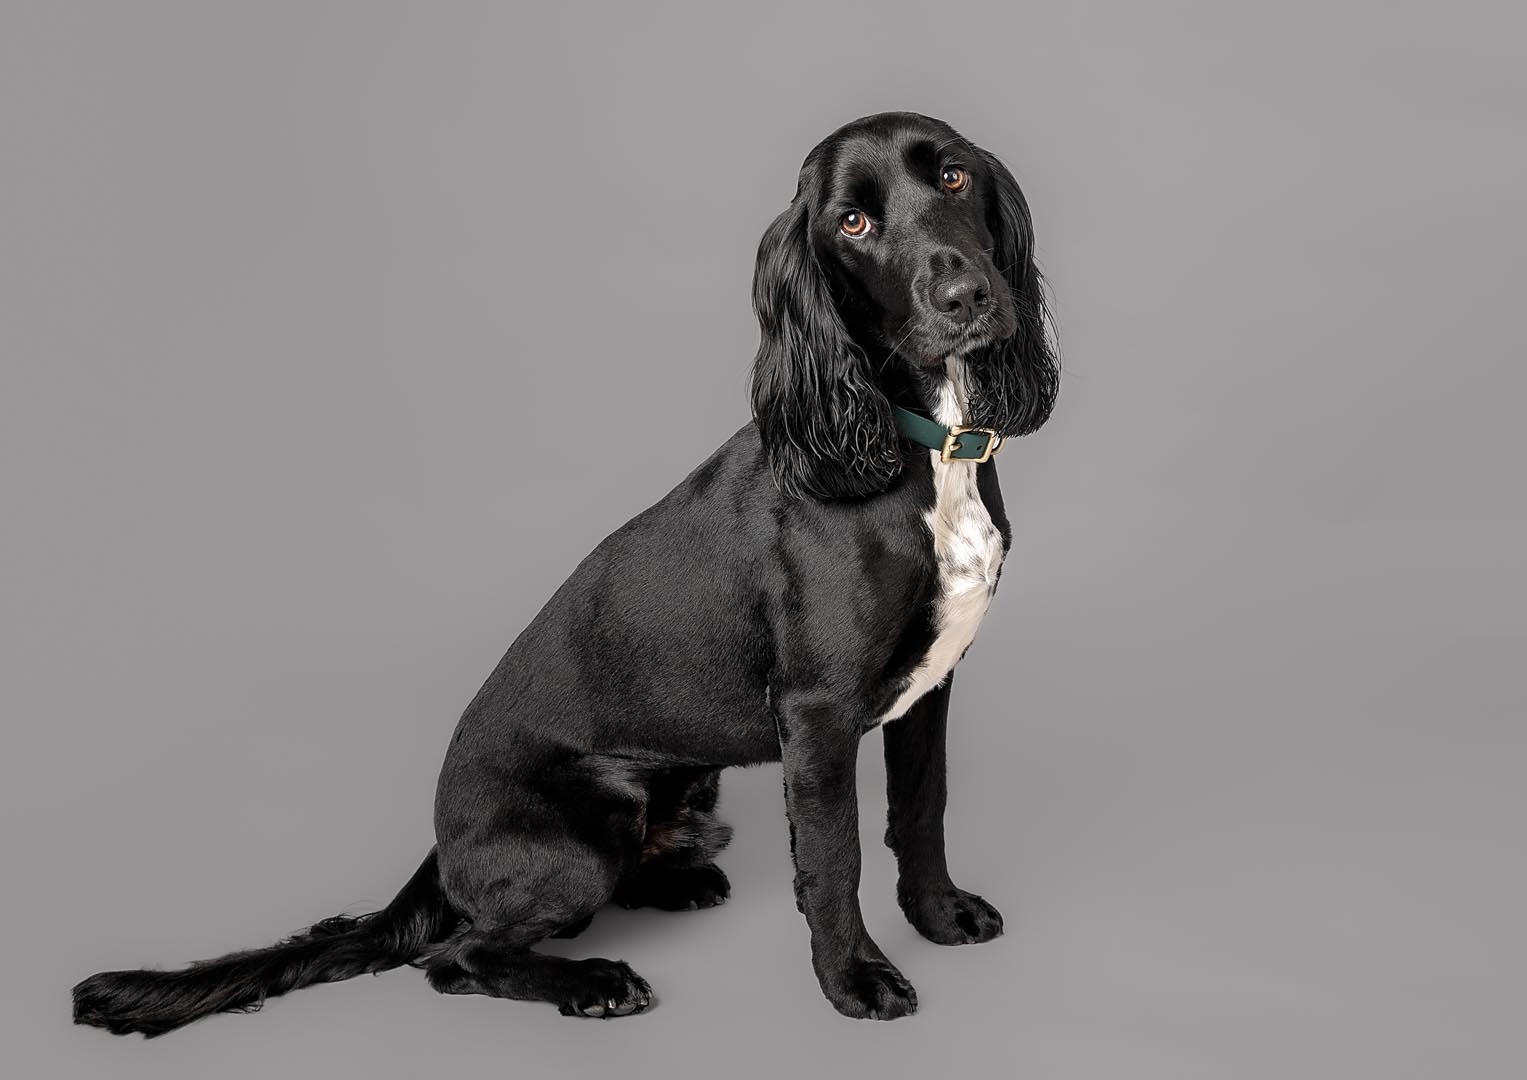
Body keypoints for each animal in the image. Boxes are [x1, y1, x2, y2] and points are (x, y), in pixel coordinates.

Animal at [74, 112, 1062, 1038]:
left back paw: (679, 884)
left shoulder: (930, 685)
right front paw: (853, 979)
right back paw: (592, 982)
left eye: (954, 176)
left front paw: (938, 916)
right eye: (852, 221)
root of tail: (437, 851)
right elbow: (833, 858)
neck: (920, 443)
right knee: (456, 956)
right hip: (585, 826)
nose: (967, 294)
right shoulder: (818, 712)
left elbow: (921, 811)